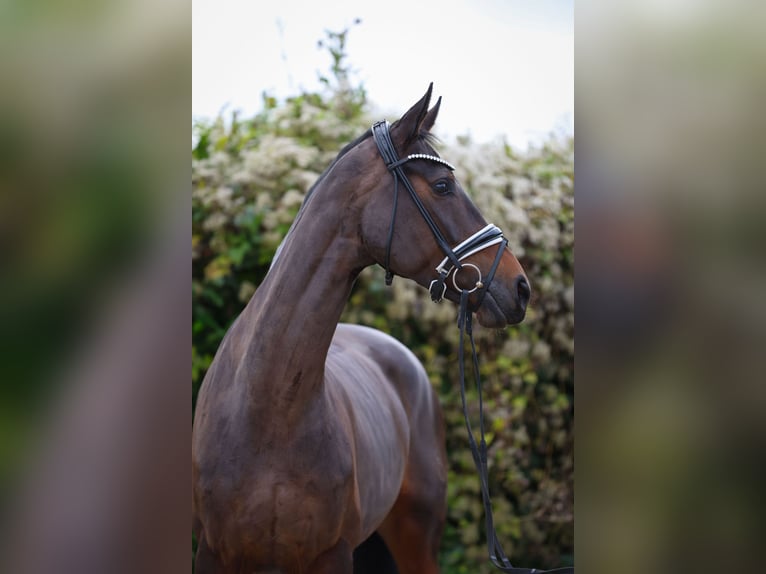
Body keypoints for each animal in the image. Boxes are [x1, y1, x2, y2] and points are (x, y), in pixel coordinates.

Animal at [192, 85, 532, 574]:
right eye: (443, 186)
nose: (521, 287)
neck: (266, 410)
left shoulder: (331, 556)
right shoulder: (214, 554)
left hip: (414, 538)